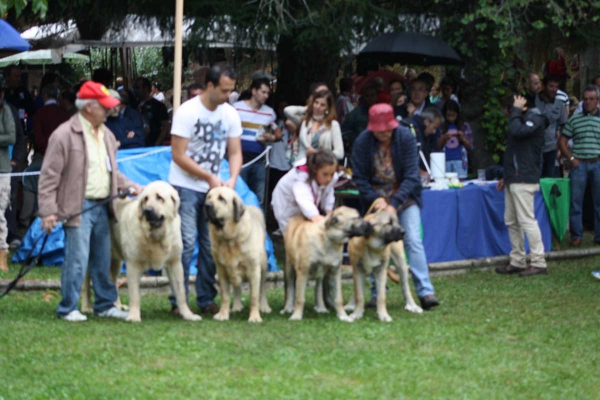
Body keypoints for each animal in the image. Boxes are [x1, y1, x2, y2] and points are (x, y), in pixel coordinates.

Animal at [206, 187, 272, 322]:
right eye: (209, 197)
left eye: (221, 198)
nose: (206, 205)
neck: (229, 239)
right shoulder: (221, 270)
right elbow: (225, 295)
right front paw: (223, 314)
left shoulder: (254, 270)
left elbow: (254, 296)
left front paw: (255, 317)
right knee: (237, 287)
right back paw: (236, 306)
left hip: (263, 267)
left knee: (262, 289)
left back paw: (264, 307)